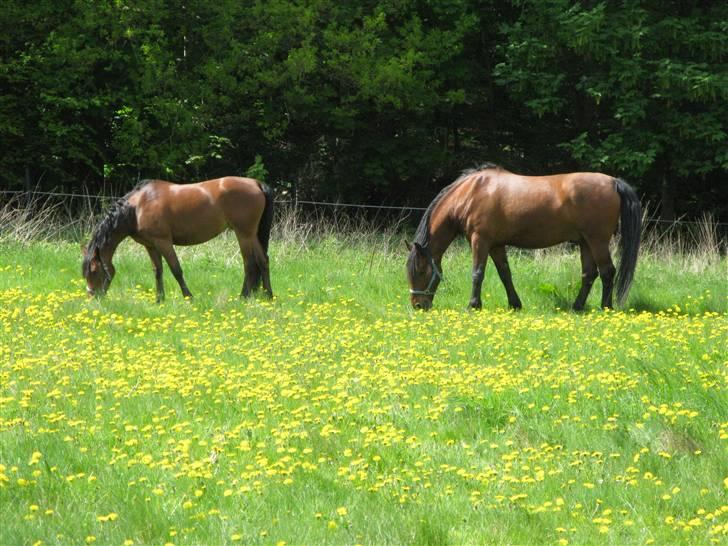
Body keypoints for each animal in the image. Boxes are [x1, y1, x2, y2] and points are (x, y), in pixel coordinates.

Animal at [80, 175, 272, 300]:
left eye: (94, 271)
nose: (92, 297)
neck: (137, 208)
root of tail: (256, 184)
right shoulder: (150, 246)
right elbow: (157, 271)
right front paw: (159, 300)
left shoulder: (163, 242)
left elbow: (176, 270)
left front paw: (188, 296)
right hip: (252, 234)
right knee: (263, 260)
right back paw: (268, 295)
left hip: (243, 233)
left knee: (249, 263)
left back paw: (243, 296)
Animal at [406, 163, 640, 310]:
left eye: (421, 271)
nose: (418, 305)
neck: (470, 194)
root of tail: (613, 182)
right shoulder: (496, 245)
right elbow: (505, 274)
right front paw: (514, 304)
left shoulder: (480, 241)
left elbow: (477, 273)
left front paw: (473, 305)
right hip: (585, 242)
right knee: (589, 274)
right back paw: (577, 306)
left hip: (597, 240)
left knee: (608, 272)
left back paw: (606, 307)